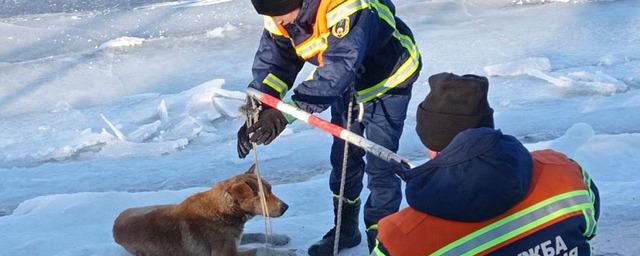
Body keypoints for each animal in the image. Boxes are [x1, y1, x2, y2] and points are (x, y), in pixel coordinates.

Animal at [114, 165, 294, 255]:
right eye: (265, 195)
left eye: (271, 188)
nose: (286, 207)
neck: (225, 210)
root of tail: (116, 223)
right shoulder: (226, 254)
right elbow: (260, 249)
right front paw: (285, 252)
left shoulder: (236, 238)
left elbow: (256, 235)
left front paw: (278, 238)